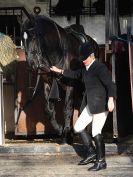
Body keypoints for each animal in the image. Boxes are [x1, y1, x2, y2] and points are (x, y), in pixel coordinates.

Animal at [21, 15, 98, 144]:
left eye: (34, 37)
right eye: (22, 39)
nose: (31, 64)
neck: (59, 52)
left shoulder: (70, 85)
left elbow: (67, 109)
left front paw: (66, 135)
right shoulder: (48, 84)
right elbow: (48, 110)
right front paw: (61, 130)